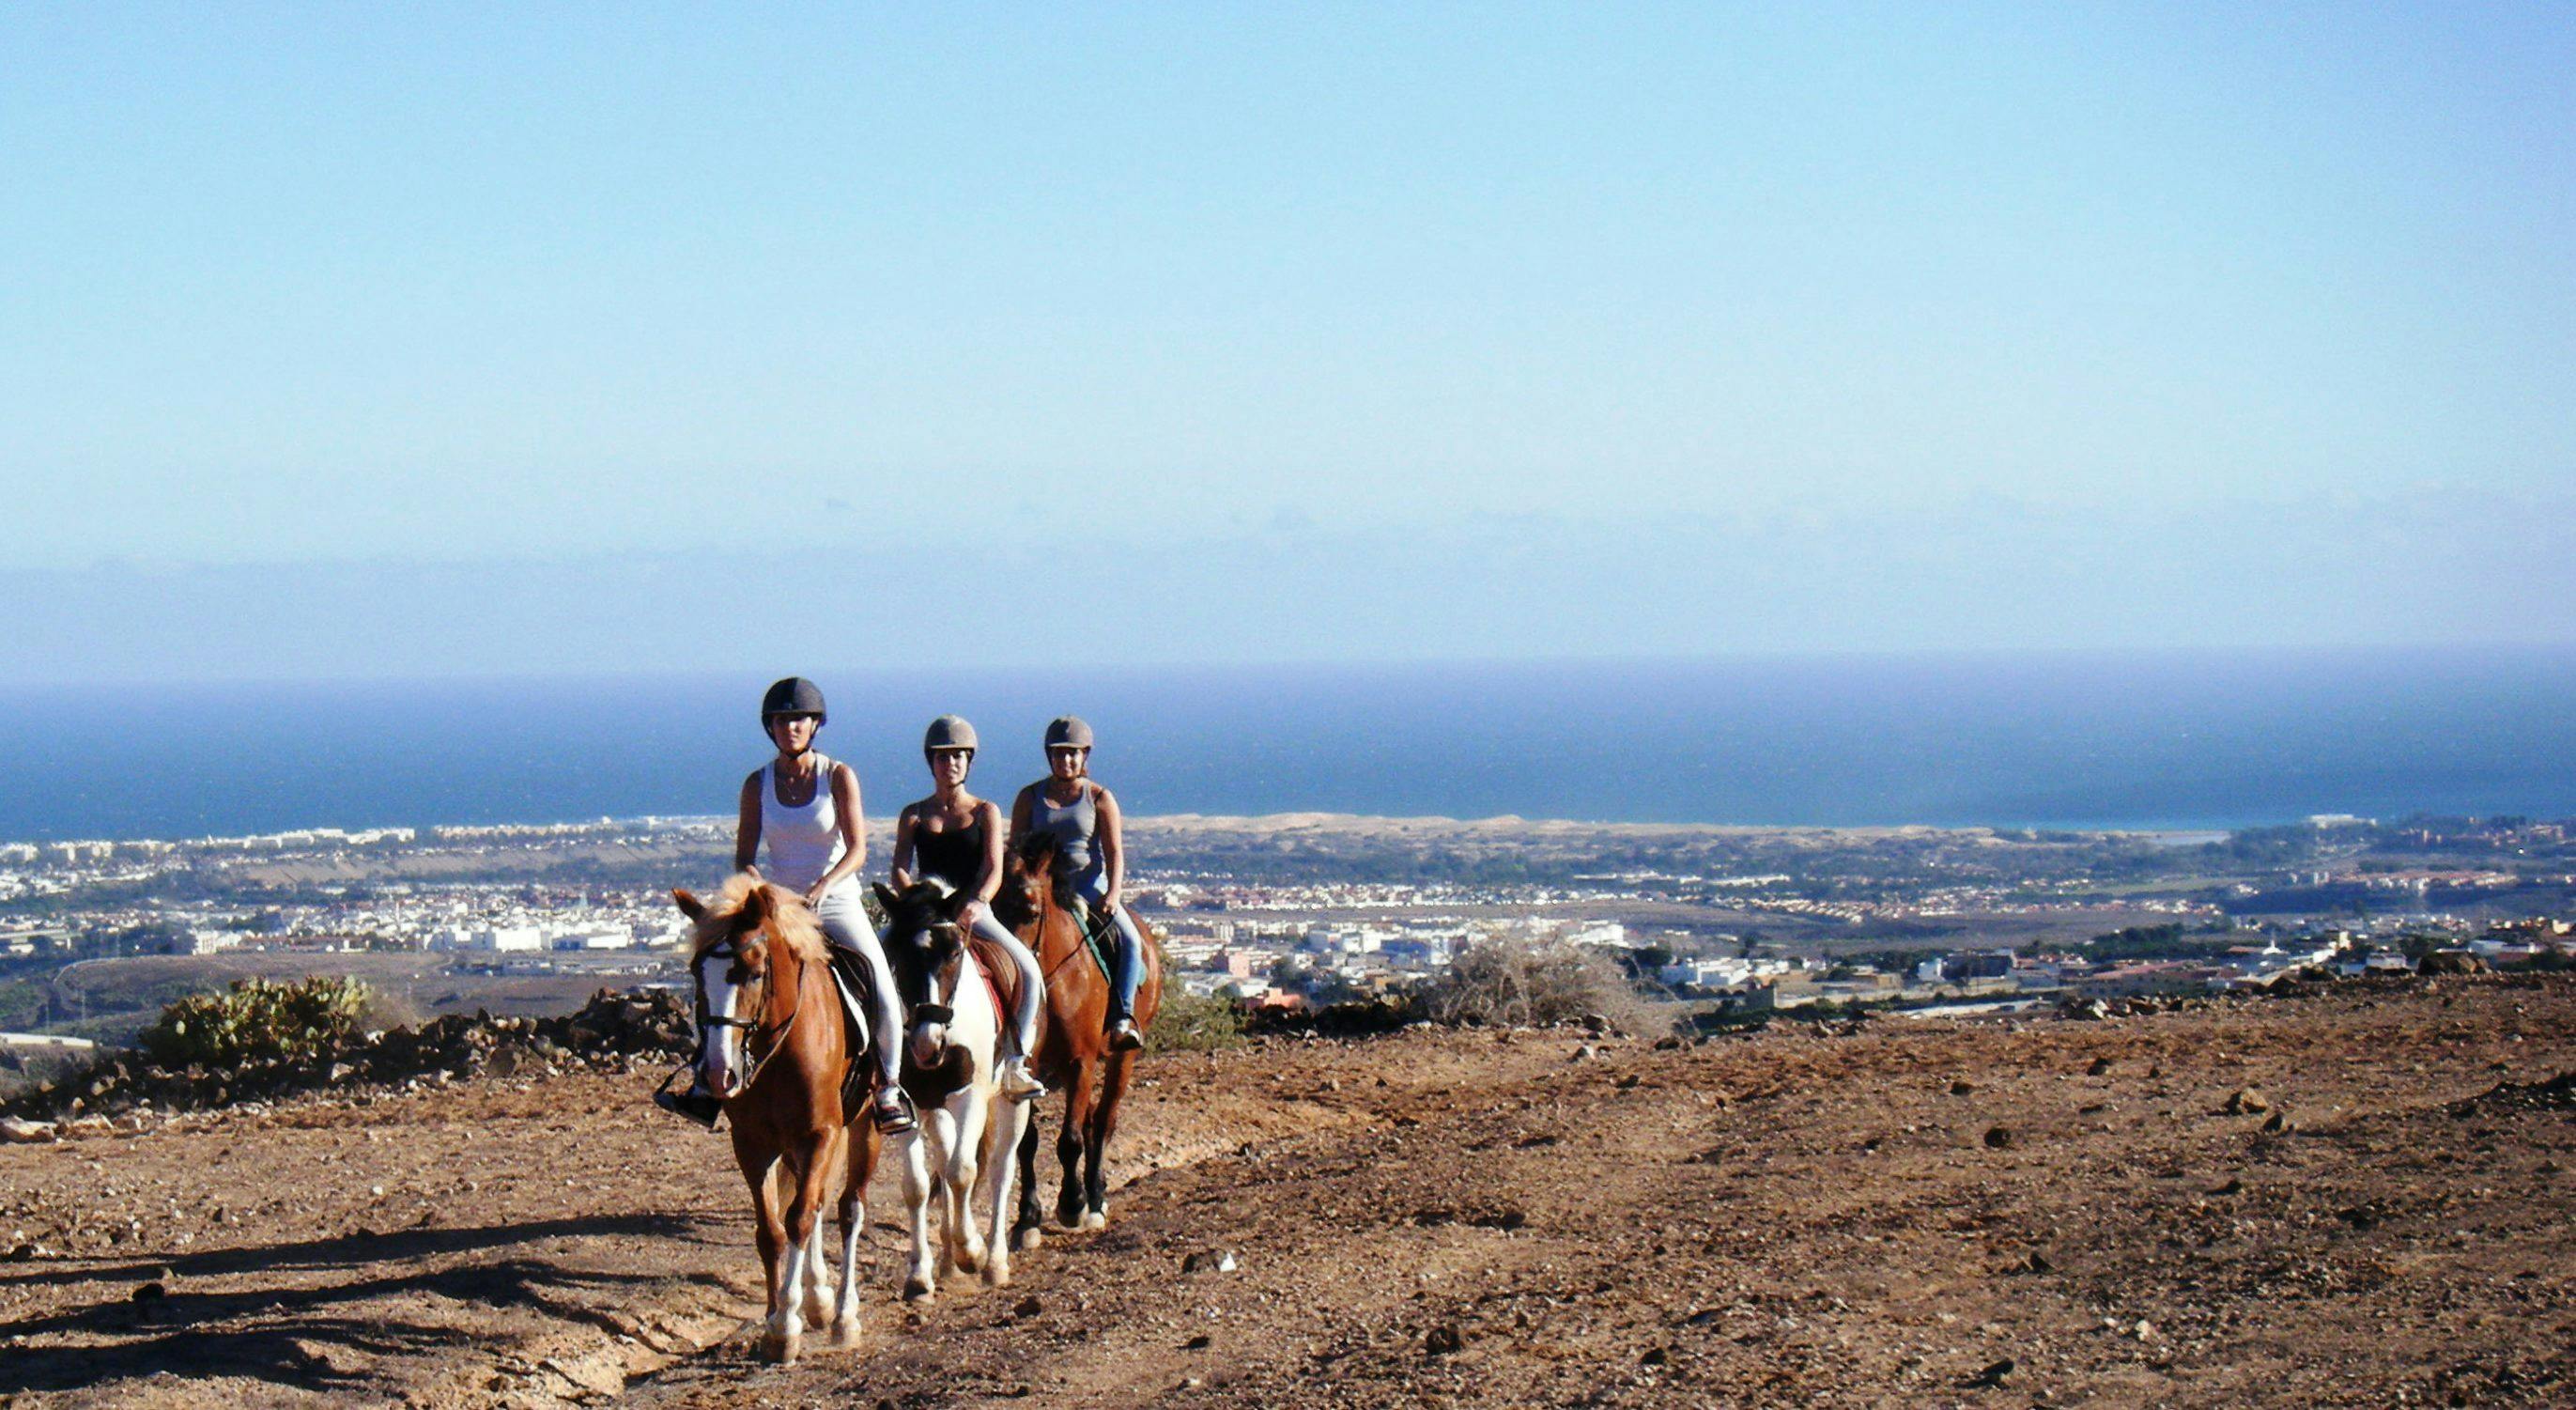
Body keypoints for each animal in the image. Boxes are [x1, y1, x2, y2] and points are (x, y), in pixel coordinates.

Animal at [674, 875, 886, 1360]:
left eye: (755, 972)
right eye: (696, 973)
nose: (718, 1074)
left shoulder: (821, 1133)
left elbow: (800, 1219)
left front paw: (787, 1324)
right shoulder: (753, 1143)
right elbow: (772, 1230)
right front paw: (774, 1321)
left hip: (863, 1126)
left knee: (849, 1209)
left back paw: (843, 1316)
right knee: (817, 1203)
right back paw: (820, 1299)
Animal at [865, 881, 1025, 1304]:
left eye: (954, 952)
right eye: (898, 953)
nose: (927, 1041)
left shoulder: (970, 1096)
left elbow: (962, 1171)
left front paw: (973, 1251)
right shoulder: (909, 1103)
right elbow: (918, 1186)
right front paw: (920, 1277)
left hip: (1012, 1100)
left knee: (1000, 1168)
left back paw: (993, 1261)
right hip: (937, 1108)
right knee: (944, 1157)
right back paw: (950, 1261)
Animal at [994, 840, 1169, 1247]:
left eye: (1031, 910)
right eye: (990, 906)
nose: (1007, 970)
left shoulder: (1081, 1062)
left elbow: (1070, 1139)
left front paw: (1072, 1204)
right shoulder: (1028, 1069)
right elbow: (1028, 1142)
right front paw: (1027, 1219)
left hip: (1122, 1056)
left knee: (1103, 1121)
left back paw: (1094, 1200)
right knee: (1091, 1120)